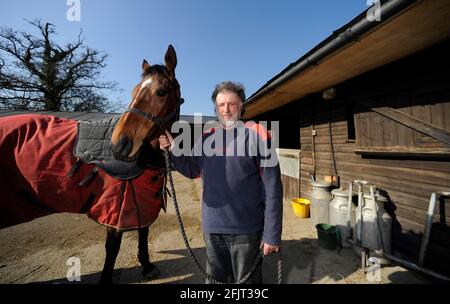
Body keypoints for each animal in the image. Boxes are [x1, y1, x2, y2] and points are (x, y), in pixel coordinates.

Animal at [0, 45, 183, 284]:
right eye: (134, 92)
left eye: (161, 92)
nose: (119, 144)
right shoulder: (116, 208)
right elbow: (112, 248)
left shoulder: (141, 203)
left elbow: (143, 232)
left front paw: (146, 265)